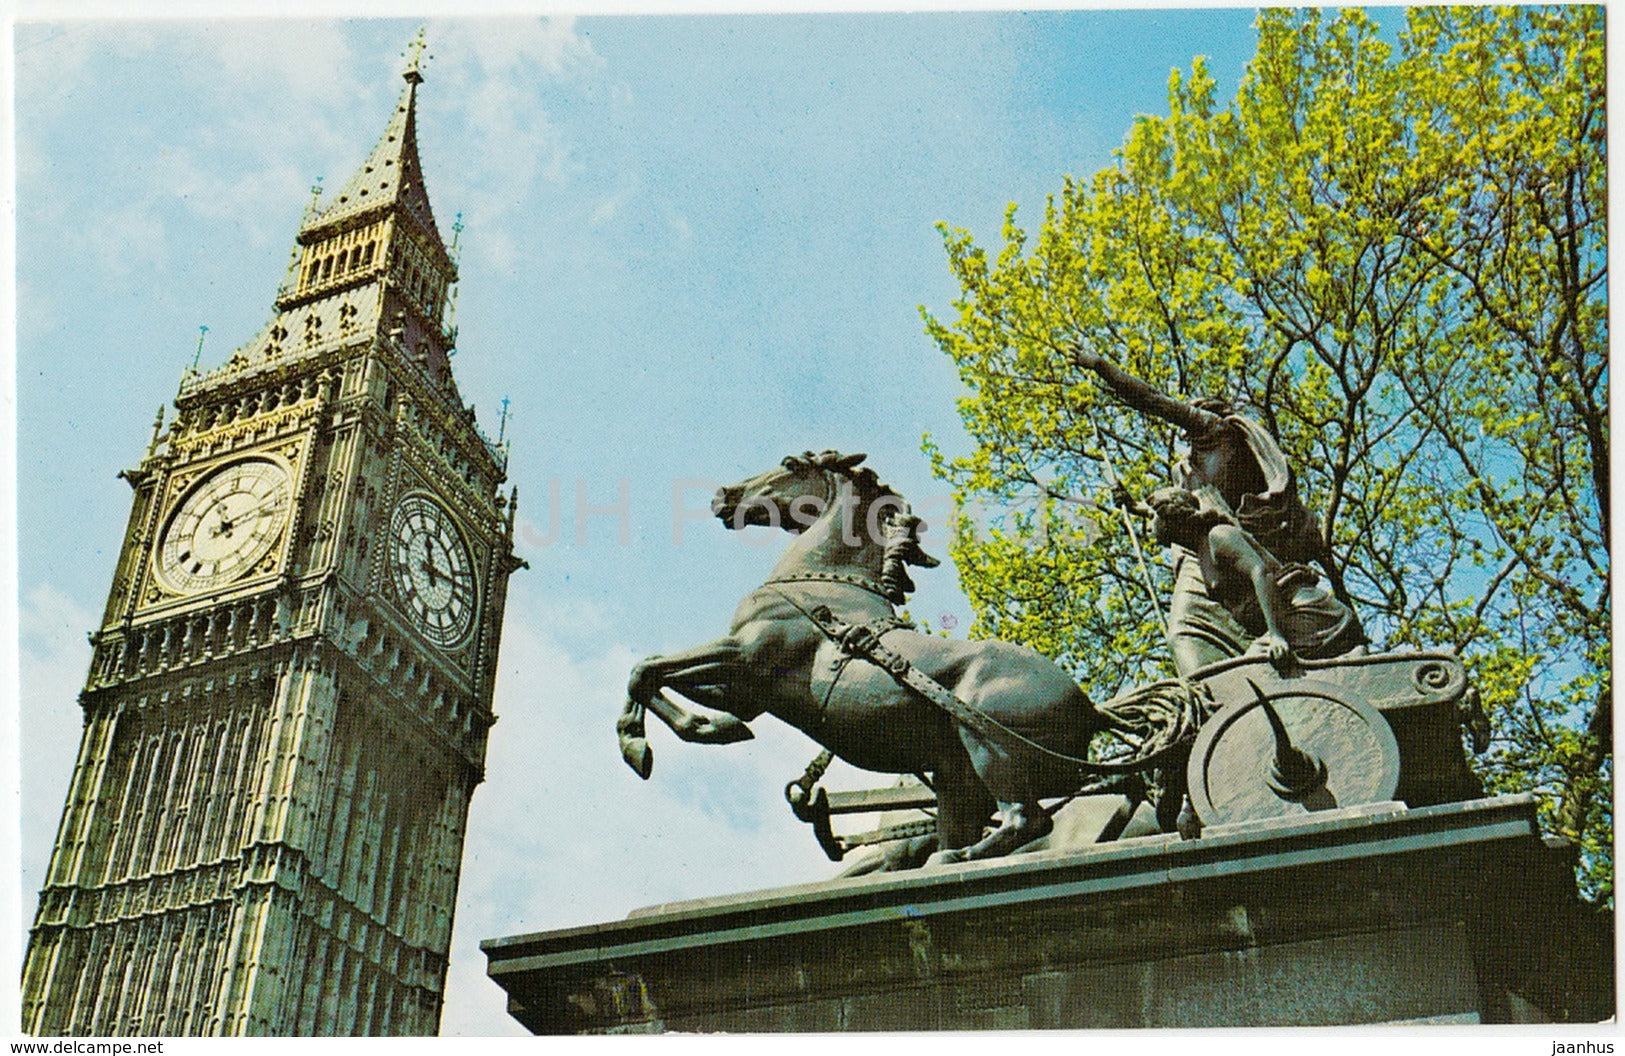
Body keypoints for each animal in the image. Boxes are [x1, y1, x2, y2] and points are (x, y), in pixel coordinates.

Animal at [617, 448, 1105, 857]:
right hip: (957, 776)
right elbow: (665, 680)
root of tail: (1090, 710)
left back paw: (959, 857)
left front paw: (638, 746)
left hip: (991, 751)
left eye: (790, 464)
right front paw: (713, 727)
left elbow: (644, 670)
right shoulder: (747, 693)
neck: (821, 583)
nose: (724, 496)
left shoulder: (743, 654)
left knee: (1027, 819)